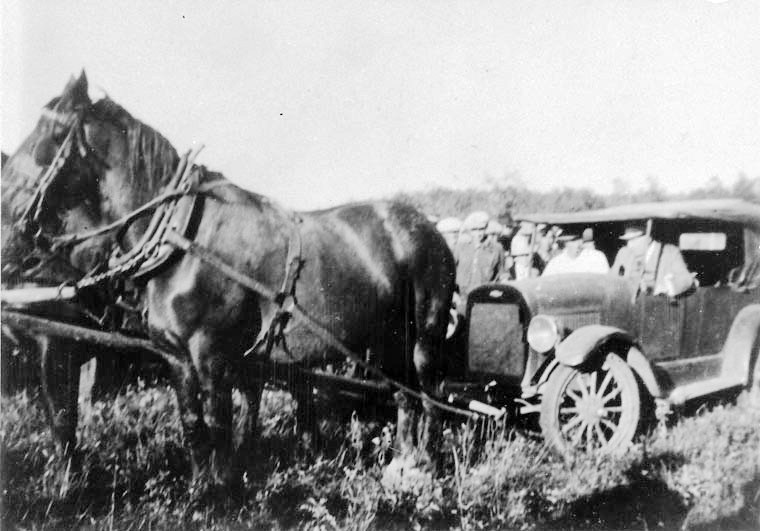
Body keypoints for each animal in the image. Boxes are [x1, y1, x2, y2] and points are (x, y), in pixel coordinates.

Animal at [2, 71, 456, 486]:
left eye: (52, 132)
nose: (6, 207)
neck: (182, 238)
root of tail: (430, 231)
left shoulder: (211, 354)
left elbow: (218, 424)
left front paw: (222, 491)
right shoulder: (177, 357)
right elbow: (192, 425)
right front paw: (200, 490)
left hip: (425, 337)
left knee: (431, 398)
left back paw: (426, 469)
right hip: (387, 339)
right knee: (404, 394)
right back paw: (401, 468)